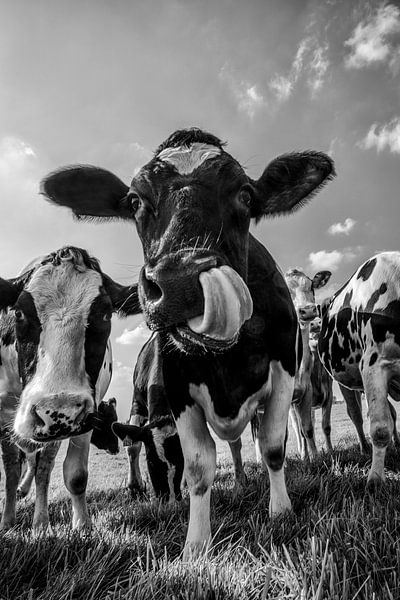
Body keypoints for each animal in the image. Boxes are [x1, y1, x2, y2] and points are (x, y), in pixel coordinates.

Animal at [0, 246, 141, 528]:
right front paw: (7, 520)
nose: (58, 412)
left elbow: (71, 474)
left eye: (106, 314)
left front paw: (69, 525)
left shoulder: (86, 417)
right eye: (19, 313)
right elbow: (10, 470)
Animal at [318, 252, 400, 488]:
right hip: (344, 379)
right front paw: (375, 480)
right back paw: (364, 448)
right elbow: (380, 429)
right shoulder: (374, 364)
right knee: (356, 414)